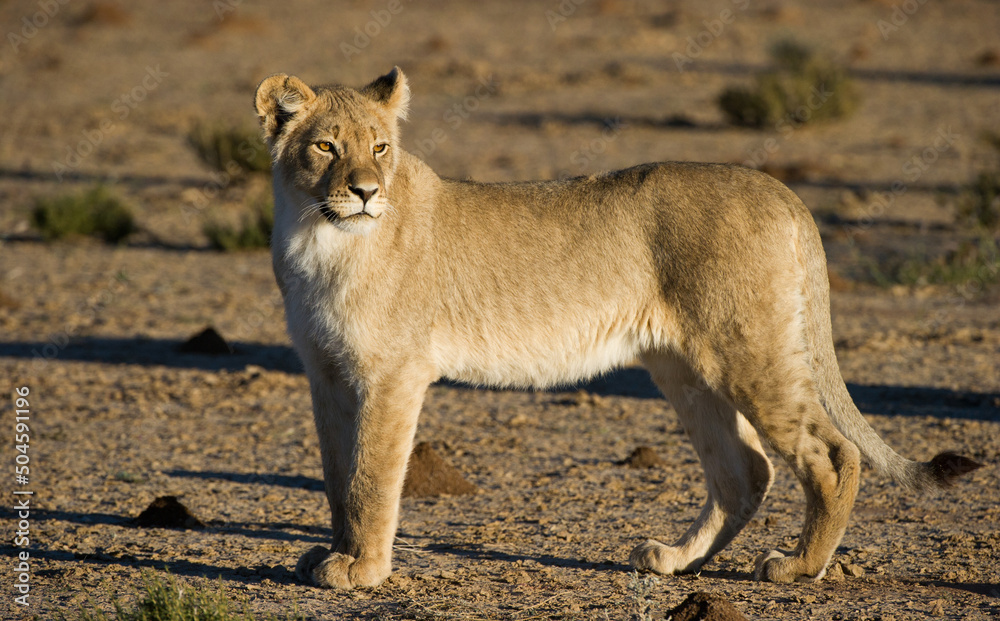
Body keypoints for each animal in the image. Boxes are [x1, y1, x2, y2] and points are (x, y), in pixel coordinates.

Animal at [252, 67, 981, 589]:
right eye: (325, 146)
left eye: (380, 147)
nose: (368, 190)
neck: (317, 236)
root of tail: (779, 190)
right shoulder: (325, 372)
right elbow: (337, 476)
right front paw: (331, 554)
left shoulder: (393, 374)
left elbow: (372, 477)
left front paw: (362, 571)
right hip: (684, 368)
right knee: (744, 469)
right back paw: (676, 560)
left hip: (748, 351)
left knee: (832, 453)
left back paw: (799, 566)